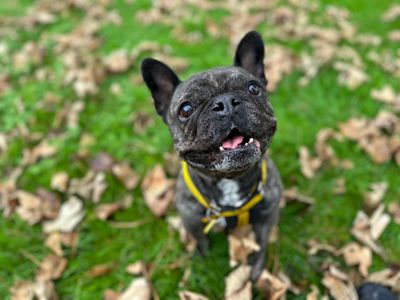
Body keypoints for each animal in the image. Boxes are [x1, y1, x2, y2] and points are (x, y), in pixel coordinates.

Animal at [142, 31, 282, 282]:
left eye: (253, 89)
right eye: (185, 109)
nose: (225, 103)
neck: (229, 180)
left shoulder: (267, 215)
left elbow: (260, 243)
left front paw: (256, 270)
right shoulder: (191, 219)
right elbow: (200, 240)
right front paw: (201, 260)